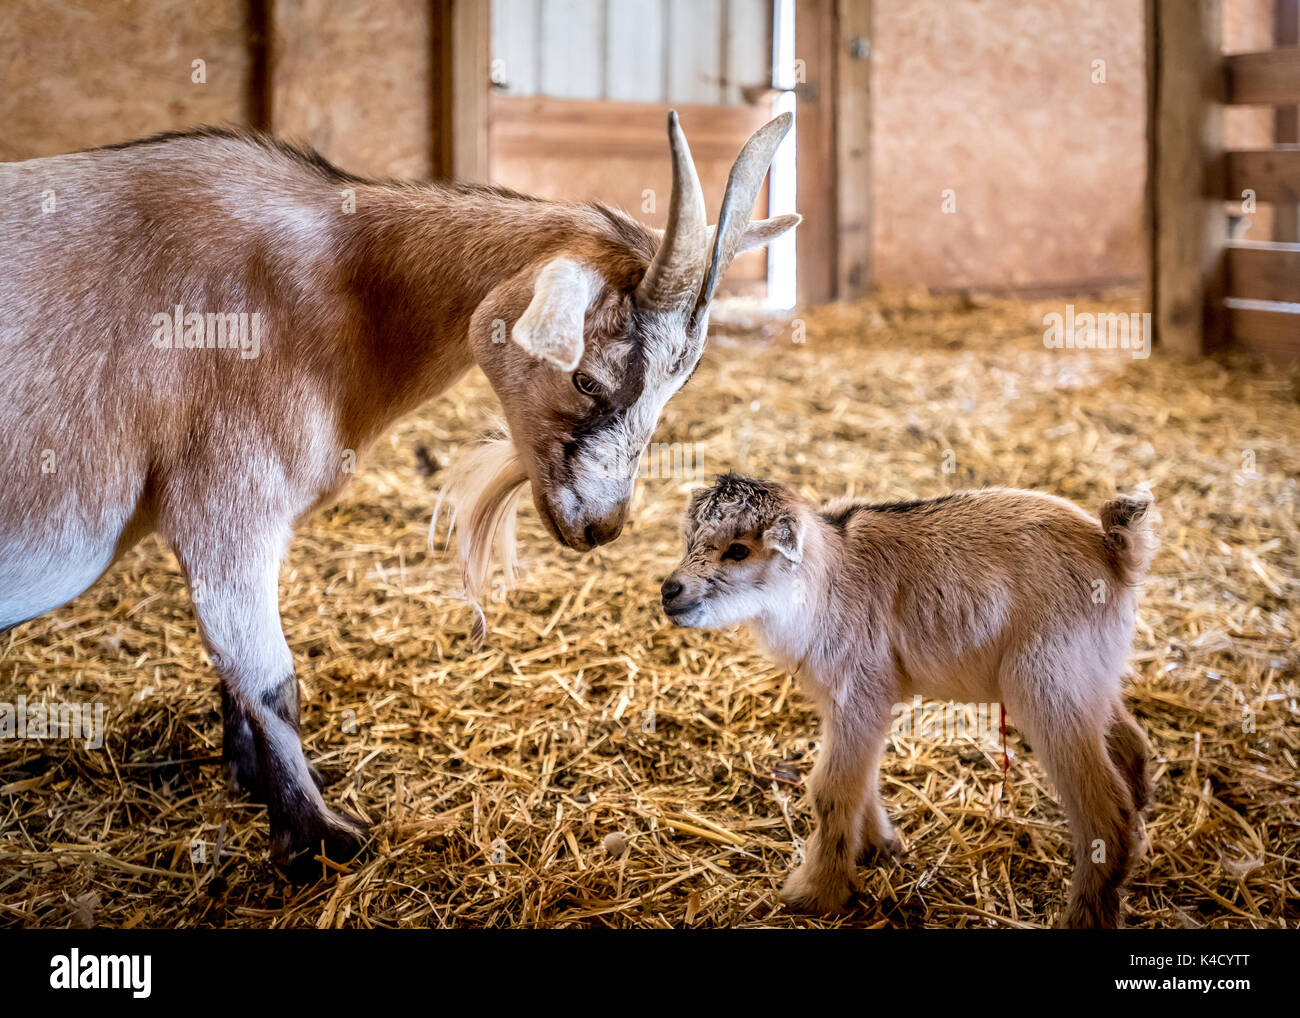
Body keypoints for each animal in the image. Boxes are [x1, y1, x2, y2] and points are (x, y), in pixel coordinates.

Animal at [0, 113, 795, 873]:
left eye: (675, 389)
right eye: (586, 378)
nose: (602, 526)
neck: (337, 281)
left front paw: (251, 782)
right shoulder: (226, 498)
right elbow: (268, 679)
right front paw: (316, 841)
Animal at [665, 473, 1164, 925]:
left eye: (738, 550)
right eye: (689, 540)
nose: (670, 591)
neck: (826, 580)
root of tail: (1113, 550)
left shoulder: (861, 688)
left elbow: (831, 787)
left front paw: (814, 893)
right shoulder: (850, 699)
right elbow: (860, 777)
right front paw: (878, 847)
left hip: (1047, 683)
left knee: (1106, 809)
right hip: (1090, 676)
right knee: (1132, 746)